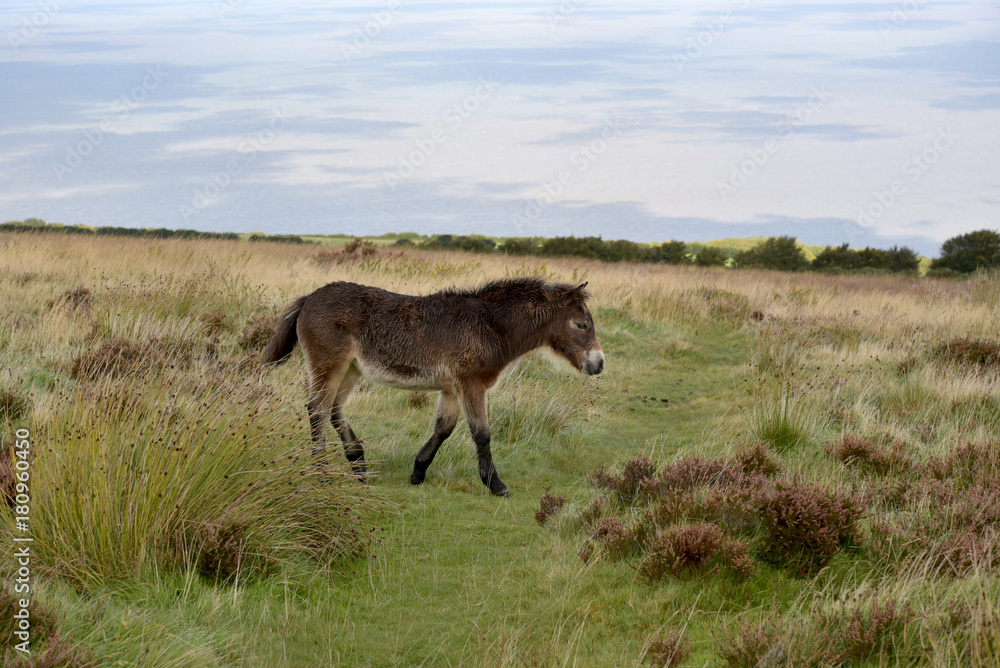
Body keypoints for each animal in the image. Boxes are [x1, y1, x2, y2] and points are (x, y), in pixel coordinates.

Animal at [261, 277, 605, 497]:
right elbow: (482, 433)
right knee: (317, 411)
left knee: (333, 409)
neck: (490, 326)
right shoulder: (471, 384)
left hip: (351, 370)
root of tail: (309, 298)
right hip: (329, 366)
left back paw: (358, 464)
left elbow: (444, 429)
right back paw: (322, 473)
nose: (599, 363)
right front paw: (496, 485)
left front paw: (418, 472)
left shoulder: (452, 389)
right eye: (581, 324)